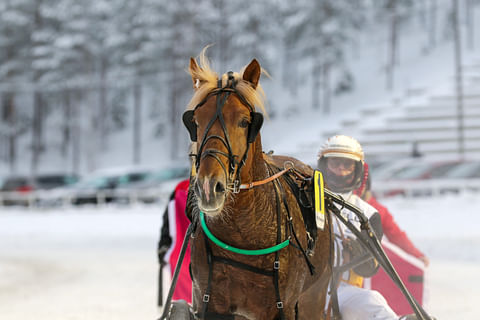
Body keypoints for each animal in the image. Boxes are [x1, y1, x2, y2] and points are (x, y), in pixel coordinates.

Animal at [182, 48, 332, 320]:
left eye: (244, 121)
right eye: (195, 121)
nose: (209, 187)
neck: (243, 233)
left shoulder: (281, 308)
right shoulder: (210, 304)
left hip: (313, 296)